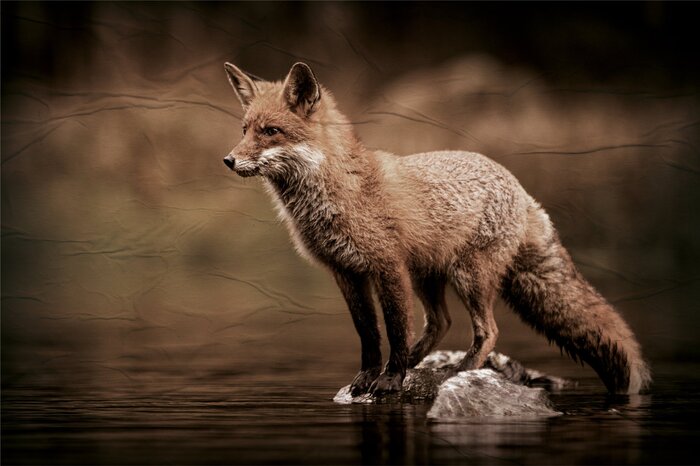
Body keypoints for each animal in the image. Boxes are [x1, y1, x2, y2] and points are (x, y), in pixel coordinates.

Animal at [221, 61, 651, 396]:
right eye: (244, 130)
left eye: (270, 131)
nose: (228, 160)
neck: (339, 193)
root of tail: (520, 187)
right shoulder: (346, 272)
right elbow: (368, 334)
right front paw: (367, 378)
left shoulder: (387, 266)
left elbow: (394, 328)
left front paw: (390, 380)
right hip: (428, 275)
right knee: (441, 322)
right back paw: (419, 362)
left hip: (468, 277)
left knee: (488, 330)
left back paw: (460, 371)